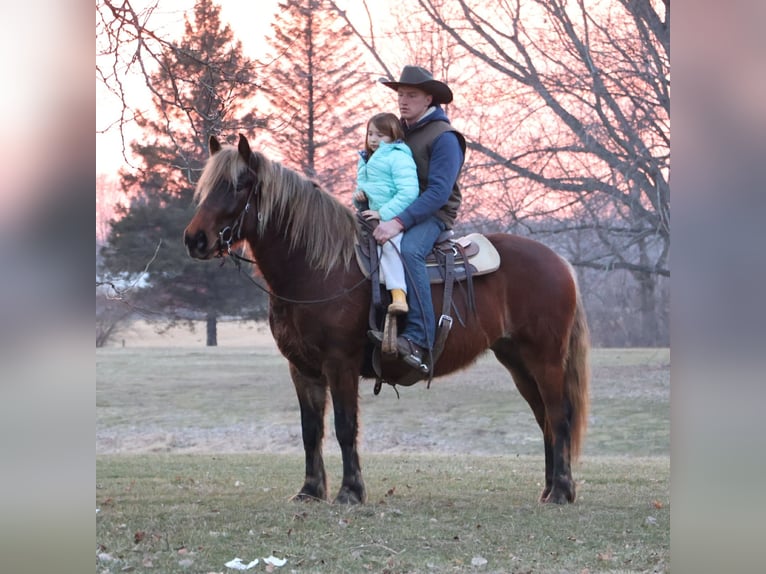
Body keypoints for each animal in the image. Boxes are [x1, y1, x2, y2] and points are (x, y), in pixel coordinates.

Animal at [183, 134, 590, 505]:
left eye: (239, 184)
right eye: (206, 186)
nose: (195, 239)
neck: (319, 268)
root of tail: (559, 262)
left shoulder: (340, 363)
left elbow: (345, 426)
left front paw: (350, 492)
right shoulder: (302, 368)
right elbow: (310, 430)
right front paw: (310, 491)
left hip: (545, 359)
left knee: (559, 415)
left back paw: (562, 492)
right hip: (518, 361)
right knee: (544, 418)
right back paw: (550, 489)